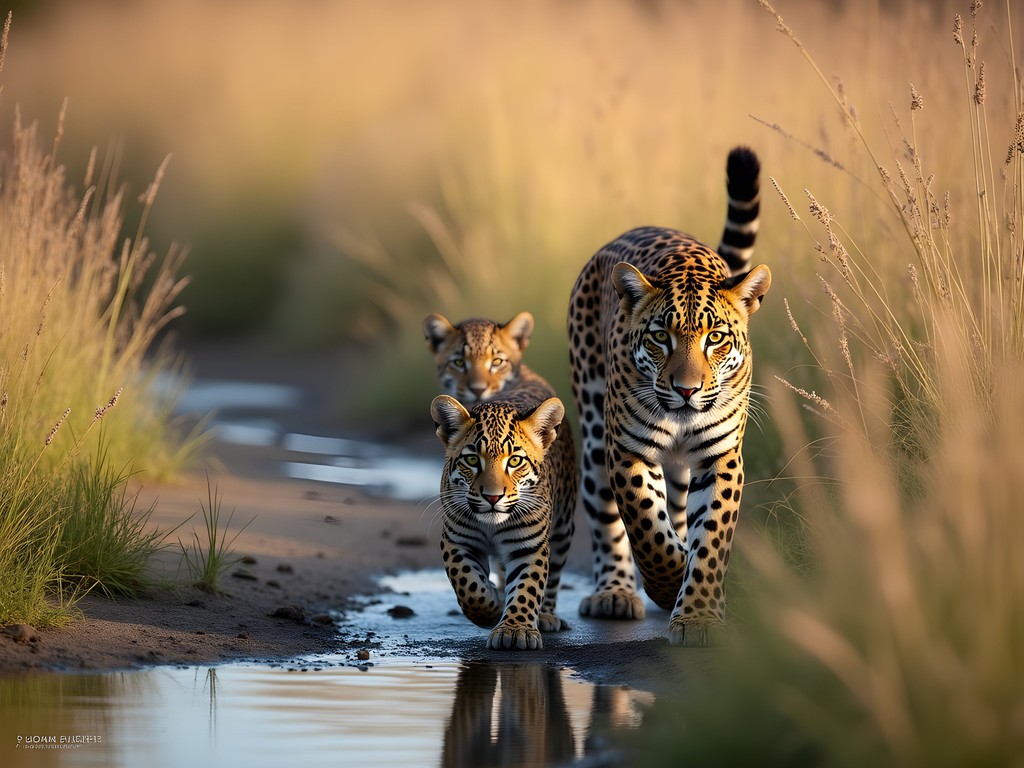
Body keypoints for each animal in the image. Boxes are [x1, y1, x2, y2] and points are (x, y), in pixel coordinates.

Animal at [431, 389, 576, 650]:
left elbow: (528, 586)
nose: (492, 496)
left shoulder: (529, 545)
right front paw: (493, 606)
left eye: (515, 461)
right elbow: (469, 586)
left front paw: (516, 630)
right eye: (472, 460)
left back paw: (546, 615)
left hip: (563, 529)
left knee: (554, 575)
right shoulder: (458, 541)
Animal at [567, 145, 771, 646]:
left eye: (716, 339)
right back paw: (615, 593)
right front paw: (668, 582)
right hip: (595, 441)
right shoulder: (628, 451)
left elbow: (710, 535)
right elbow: (646, 528)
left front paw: (697, 614)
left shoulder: (719, 456)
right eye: (661, 337)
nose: (686, 389)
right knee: (607, 521)